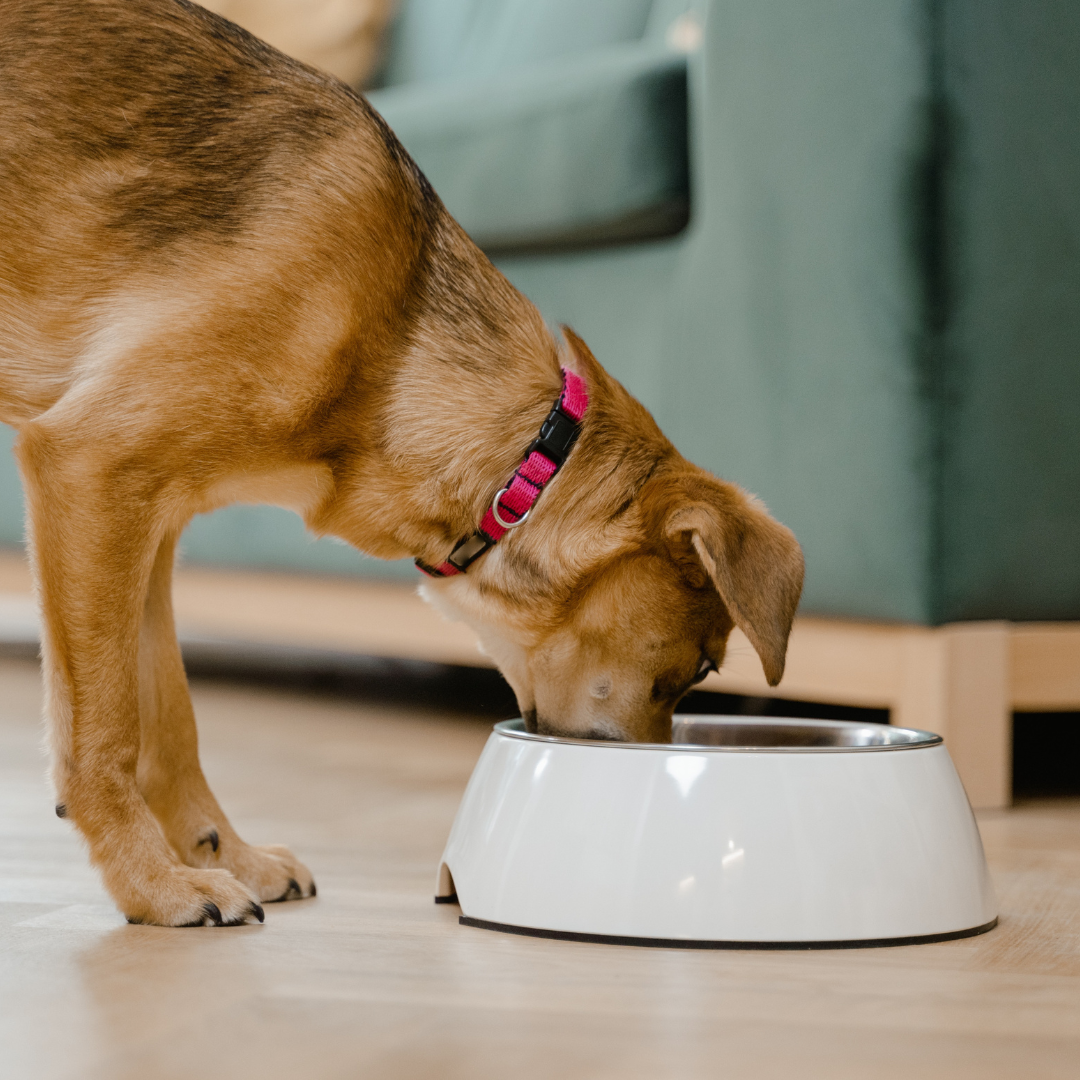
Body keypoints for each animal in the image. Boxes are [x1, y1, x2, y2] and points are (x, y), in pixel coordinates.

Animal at [0, 0, 799, 928]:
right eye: (701, 667)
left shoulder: (146, 523)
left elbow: (168, 717)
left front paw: (221, 854)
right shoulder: (91, 470)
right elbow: (106, 729)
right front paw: (155, 886)